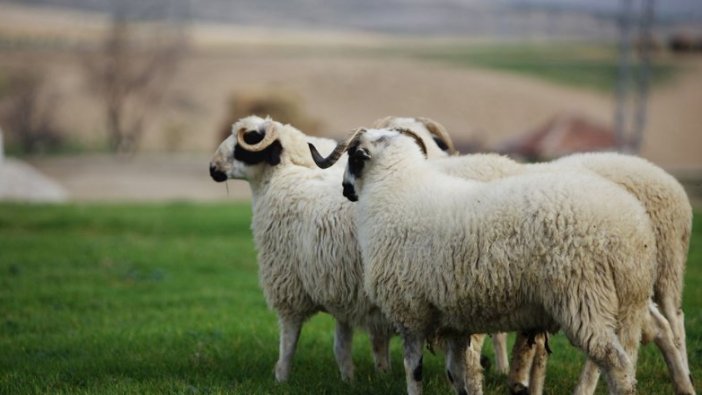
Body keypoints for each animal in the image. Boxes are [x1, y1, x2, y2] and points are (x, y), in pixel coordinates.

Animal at [208, 114, 456, 384]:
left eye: (248, 140)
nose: (212, 168)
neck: (286, 176)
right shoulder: (342, 288)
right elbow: (344, 343)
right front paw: (353, 378)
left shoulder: (290, 284)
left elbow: (290, 338)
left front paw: (281, 377)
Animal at [310, 128, 656, 394]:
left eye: (354, 157)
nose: (346, 190)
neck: (396, 191)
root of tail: (633, 229)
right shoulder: (452, 320)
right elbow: (457, 375)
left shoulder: (411, 312)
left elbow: (414, 371)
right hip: (629, 306)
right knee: (626, 360)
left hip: (585, 298)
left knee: (616, 366)